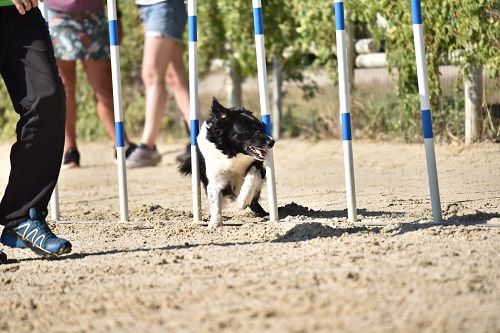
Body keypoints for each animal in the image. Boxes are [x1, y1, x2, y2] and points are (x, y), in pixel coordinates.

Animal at [179, 97, 276, 227]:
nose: (272, 141)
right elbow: (215, 200)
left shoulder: (257, 166)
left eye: (261, 128)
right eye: (248, 130)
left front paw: (243, 201)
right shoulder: (215, 178)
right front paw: (214, 223)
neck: (232, 153)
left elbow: (251, 178)